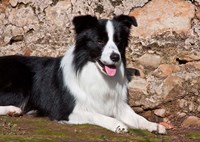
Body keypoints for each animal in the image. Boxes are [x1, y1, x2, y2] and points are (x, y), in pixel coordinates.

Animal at [0, 15, 166, 134]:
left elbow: (137, 117)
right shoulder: (67, 110)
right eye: (99, 41)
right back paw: (12, 110)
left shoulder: (118, 104)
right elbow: (96, 115)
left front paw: (154, 125)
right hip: (20, 82)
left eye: (119, 41)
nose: (115, 57)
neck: (95, 72)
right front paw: (118, 124)